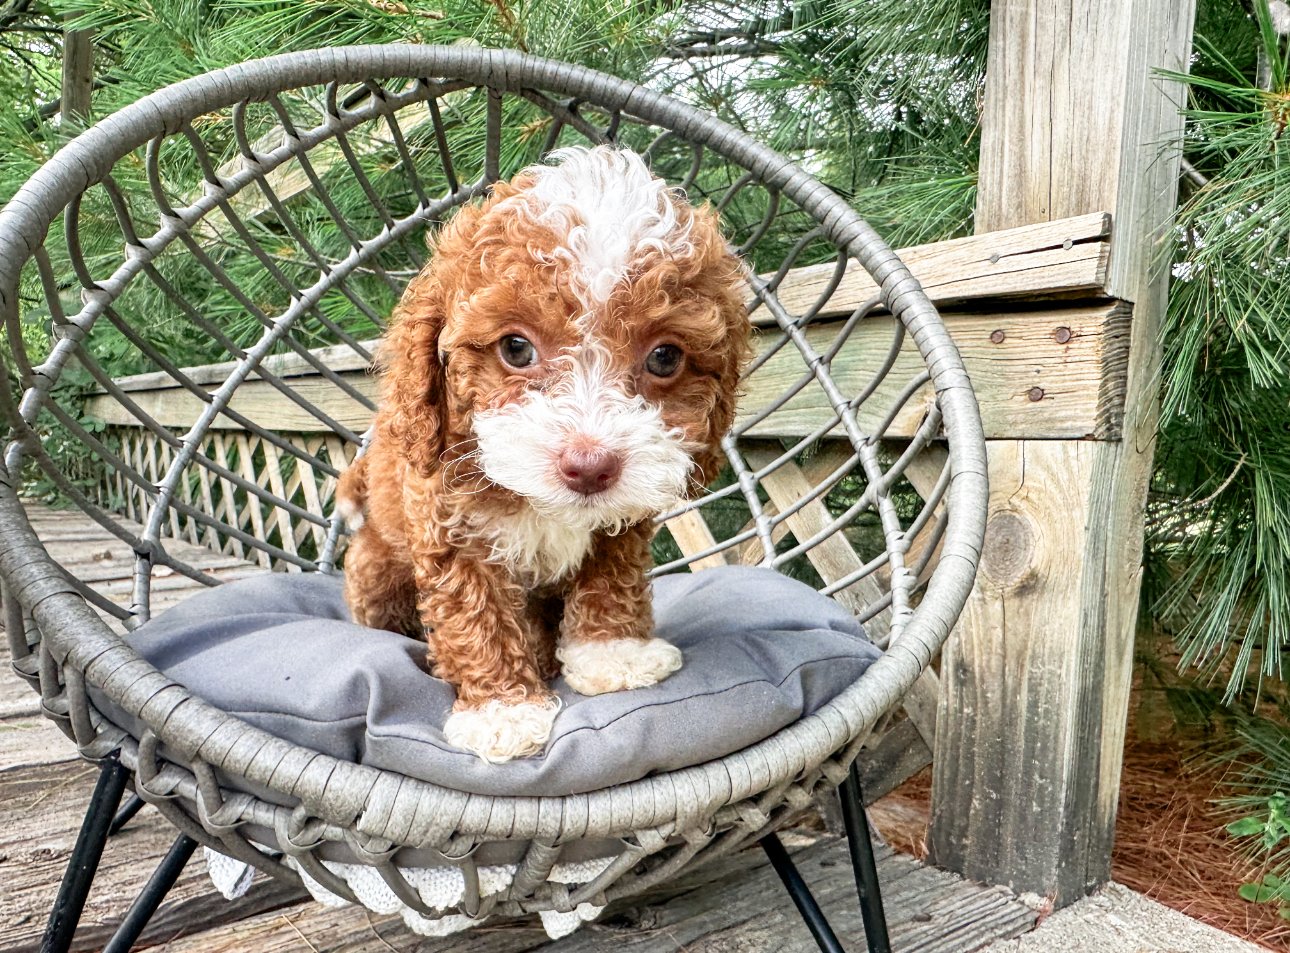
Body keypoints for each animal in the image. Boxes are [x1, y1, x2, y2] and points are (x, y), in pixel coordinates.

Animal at [337, 145, 753, 763]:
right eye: (516, 348)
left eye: (664, 358)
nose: (590, 466)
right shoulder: (450, 527)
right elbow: (476, 612)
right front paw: (501, 711)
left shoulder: (621, 524)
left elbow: (612, 577)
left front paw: (612, 653)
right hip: (374, 574)